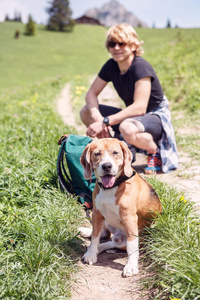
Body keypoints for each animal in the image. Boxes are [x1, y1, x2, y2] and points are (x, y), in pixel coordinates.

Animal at [79, 138, 161, 276]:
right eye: (97, 154)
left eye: (115, 152)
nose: (107, 166)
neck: (111, 187)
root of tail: (118, 235)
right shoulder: (96, 213)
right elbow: (95, 237)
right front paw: (91, 254)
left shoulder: (129, 219)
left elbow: (132, 247)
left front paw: (131, 266)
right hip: (105, 221)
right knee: (104, 235)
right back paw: (89, 239)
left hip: (127, 238)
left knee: (112, 242)